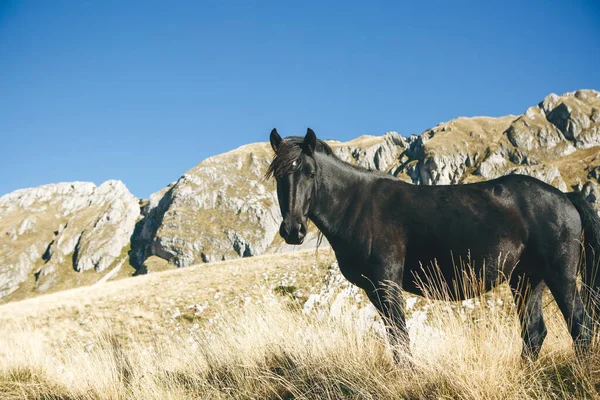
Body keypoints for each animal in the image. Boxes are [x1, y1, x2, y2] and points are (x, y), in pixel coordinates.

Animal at [268, 127, 600, 360]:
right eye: (278, 177)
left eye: (310, 173)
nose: (293, 231)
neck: (357, 204)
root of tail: (564, 196)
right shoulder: (375, 290)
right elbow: (395, 338)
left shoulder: (387, 284)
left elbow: (400, 338)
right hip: (526, 280)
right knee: (534, 333)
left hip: (560, 277)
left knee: (581, 328)